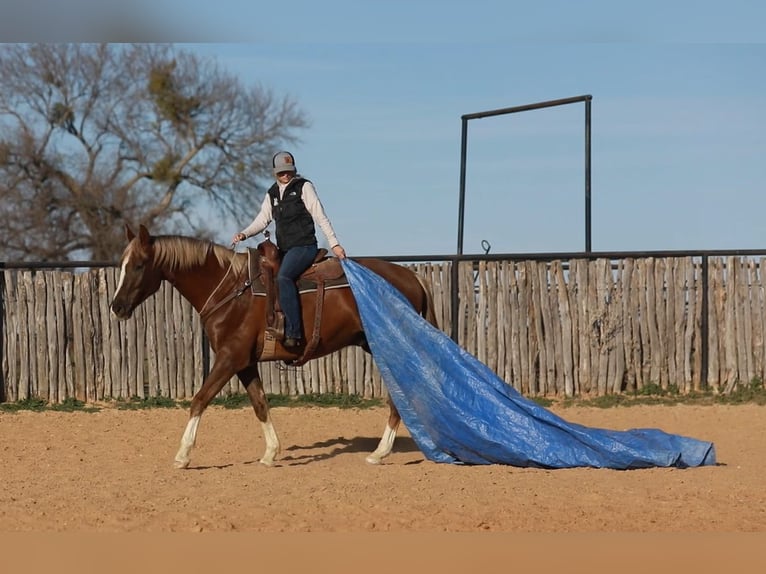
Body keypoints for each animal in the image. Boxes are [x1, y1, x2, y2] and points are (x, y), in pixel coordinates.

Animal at [111, 224, 440, 468]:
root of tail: (411, 276)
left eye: (138, 265)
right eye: (122, 265)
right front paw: (271, 453)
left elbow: (200, 399)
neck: (231, 289)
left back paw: (380, 452)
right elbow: (260, 403)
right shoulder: (245, 363)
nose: (116, 306)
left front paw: (182, 455)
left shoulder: (229, 359)